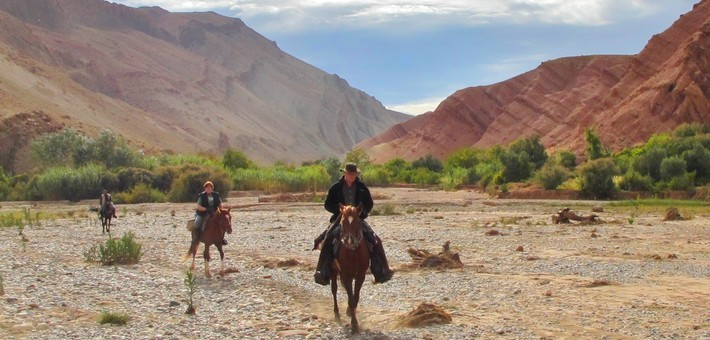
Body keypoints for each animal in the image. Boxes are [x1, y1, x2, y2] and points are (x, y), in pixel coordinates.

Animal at [330, 203, 370, 334]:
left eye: (357, 222)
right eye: (342, 222)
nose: (349, 240)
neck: (353, 253)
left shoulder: (360, 275)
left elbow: (355, 298)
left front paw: (350, 314)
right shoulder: (345, 274)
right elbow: (351, 299)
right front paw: (354, 325)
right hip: (333, 271)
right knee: (334, 290)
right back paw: (337, 314)